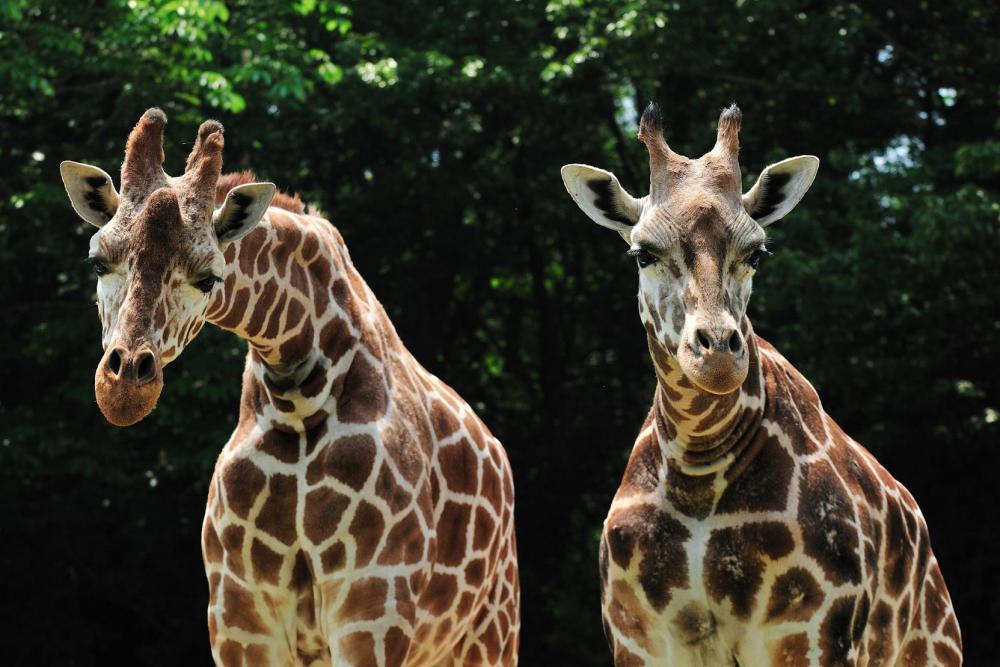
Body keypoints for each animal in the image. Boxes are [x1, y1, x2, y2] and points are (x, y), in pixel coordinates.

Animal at [60, 109, 524, 667]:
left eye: (210, 278)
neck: (298, 403)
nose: (125, 387)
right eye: (97, 262)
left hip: (490, 631)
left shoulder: (373, 609)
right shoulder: (238, 616)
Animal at [564, 104, 960, 667]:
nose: (717, 355)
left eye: (757, 252)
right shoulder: (639, 640)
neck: (696, 470)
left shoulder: (808, 636)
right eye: (642, 254)